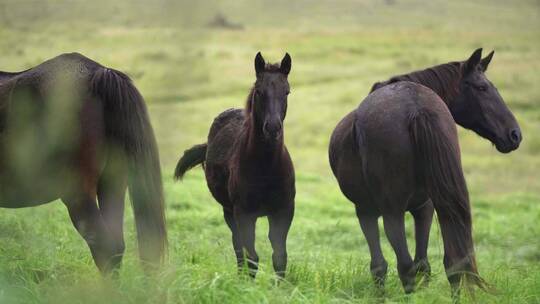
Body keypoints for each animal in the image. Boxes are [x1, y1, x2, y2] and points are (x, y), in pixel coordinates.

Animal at [175, 51, 296, 278]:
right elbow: (251, 258)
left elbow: (279, 257)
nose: (273, 128)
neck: (267, 168)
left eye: (287, 91)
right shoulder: (244, 214)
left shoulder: (283, 211)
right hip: (229, 212)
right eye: (259, 91)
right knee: (238, 249)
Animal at [326, 49, 520, 294]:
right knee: (450, 264)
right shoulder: (424, 208)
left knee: (405, 266)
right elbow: (424, 265)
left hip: (392, 212)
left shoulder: (366, 210)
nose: (515, 134)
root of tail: (416, 108)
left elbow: (379, 267)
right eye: (482, 87)